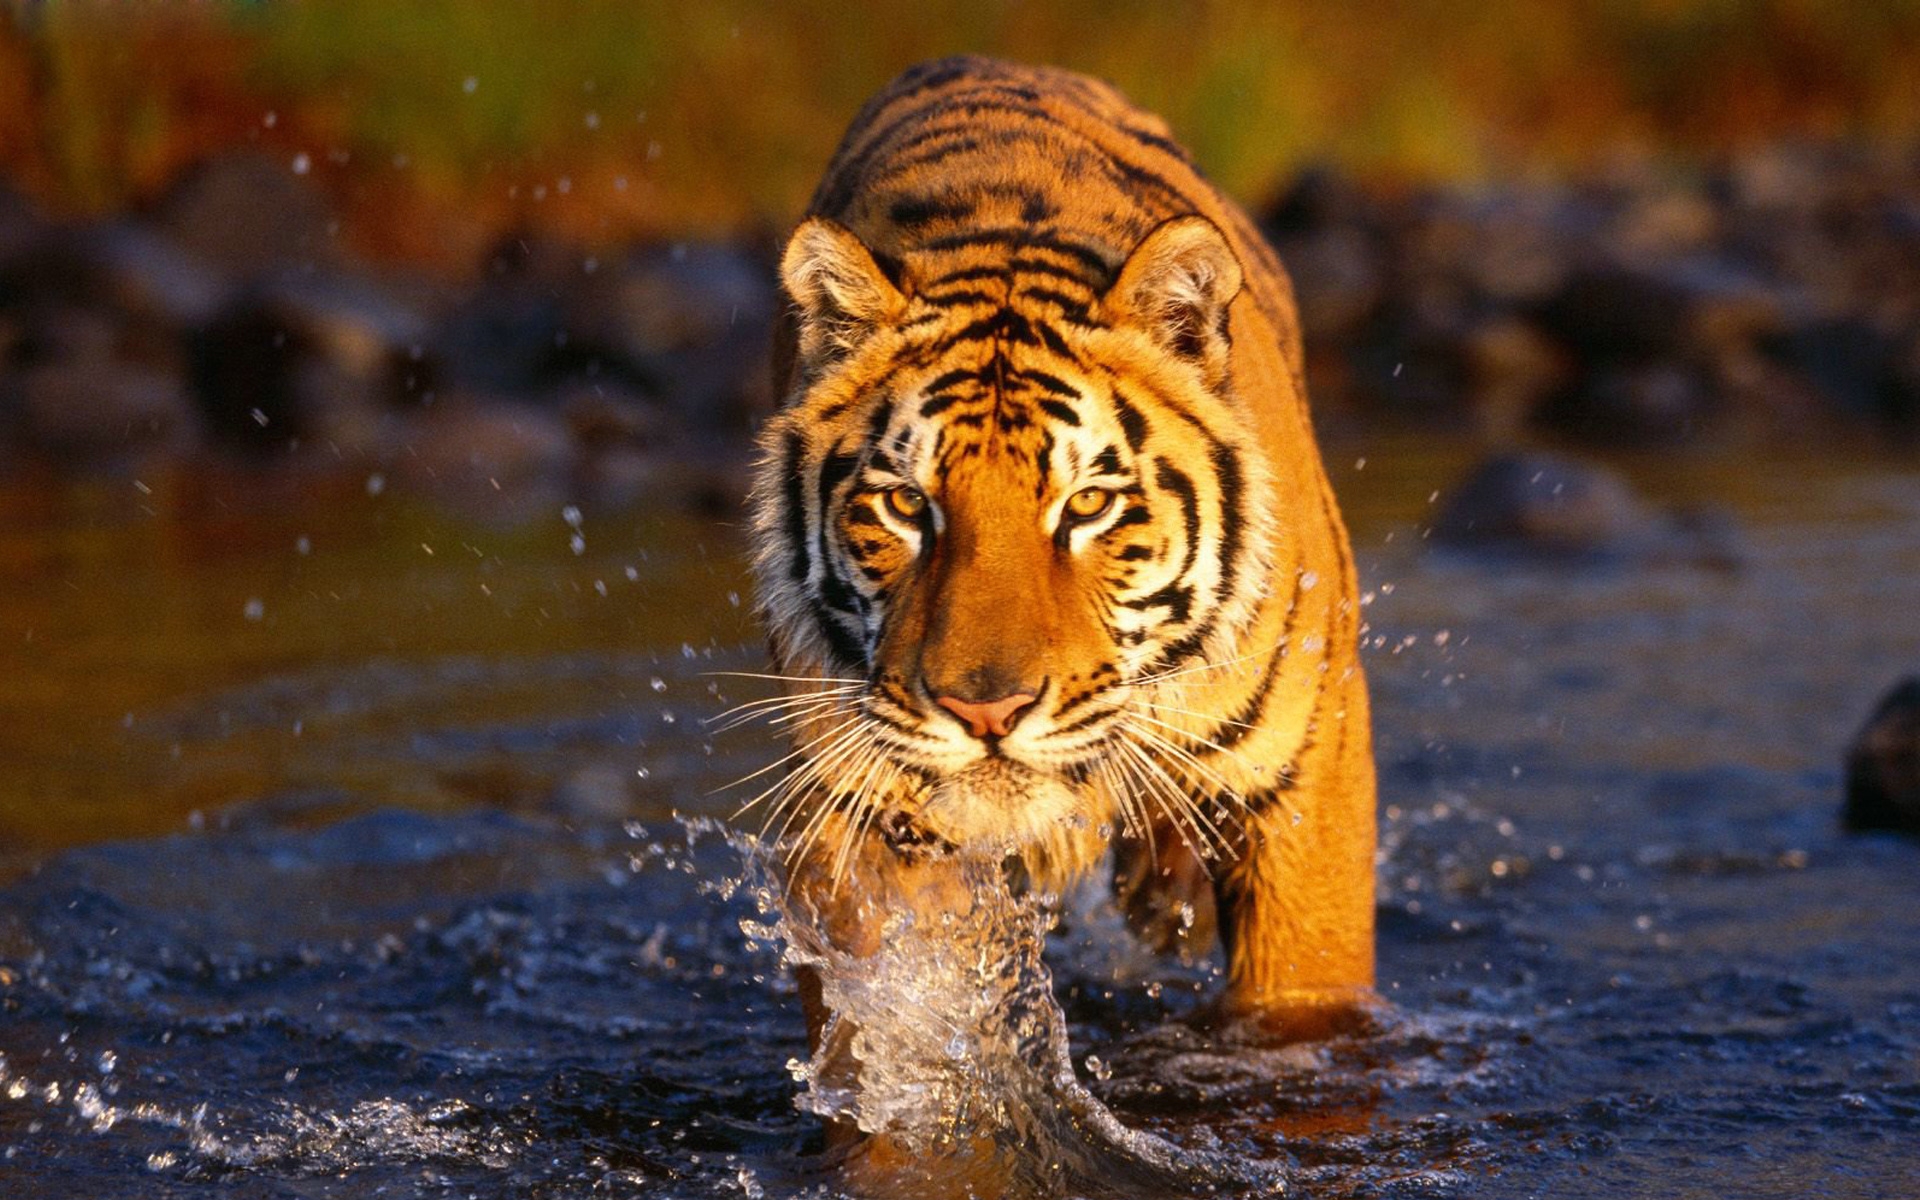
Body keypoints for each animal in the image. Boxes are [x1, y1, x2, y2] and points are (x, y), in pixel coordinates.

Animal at [746, 55, 1376, 1042]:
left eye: (1087, 506)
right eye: (906, 504)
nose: (987, 714)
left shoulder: (1307, 779)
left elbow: (1301, 997)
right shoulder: (854, 809)